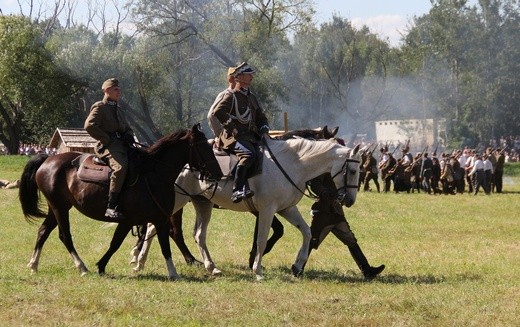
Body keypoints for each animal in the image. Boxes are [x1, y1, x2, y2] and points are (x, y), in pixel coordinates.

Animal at [19, 124, 222, 280]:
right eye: (202, 147)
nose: (218, 174)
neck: (153, 175)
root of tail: (49, 159)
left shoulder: (160, 219)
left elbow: (165, 245)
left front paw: (173, 273)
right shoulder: (128, 220)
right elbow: (115, 243)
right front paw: (101, 266)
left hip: (57, 208)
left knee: (43, 232)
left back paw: (33, 265)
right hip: (60, 208)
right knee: (64, 236)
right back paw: (81, 267)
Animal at [134, 138, 362, 282]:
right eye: (352, 170)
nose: (350, 200)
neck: (292, 164)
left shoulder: (287, 209)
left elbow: (306, 232)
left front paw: (298, 265)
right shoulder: (268, 211)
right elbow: (261, 240)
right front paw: (258, 270)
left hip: (202, 203)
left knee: (197, 234)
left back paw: (209, 266)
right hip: (178, 201)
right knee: (155, 227)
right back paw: (140, 261)